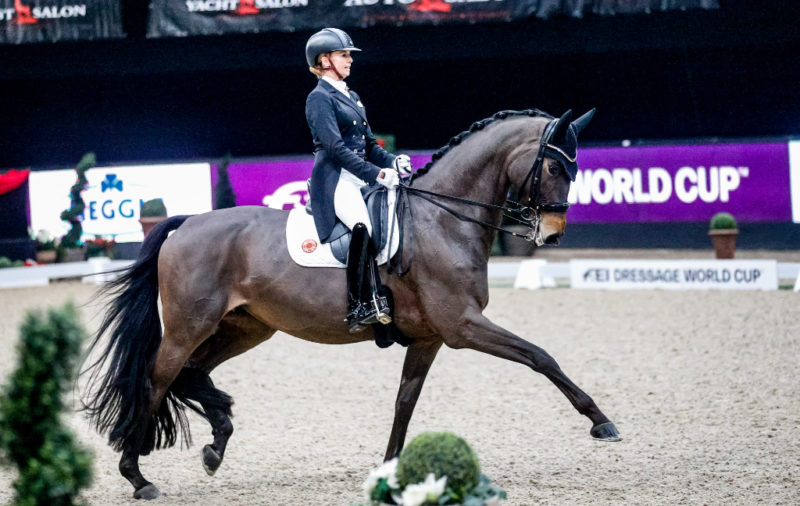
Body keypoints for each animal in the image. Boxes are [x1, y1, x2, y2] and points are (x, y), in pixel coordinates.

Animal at [86, 106, 624, 498]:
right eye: (553, 165)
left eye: (576, 167)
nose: (552, 235)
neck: (443, 220)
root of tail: (188, 222)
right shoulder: (463, 326)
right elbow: (541, 356)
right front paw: (601, 422)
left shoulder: (430, 337)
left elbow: (405, 401)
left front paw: (390, 468)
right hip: (187, 325)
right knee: (156, 380)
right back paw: (138, 477)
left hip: (245, 327)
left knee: (192, 374)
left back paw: (216, 442)